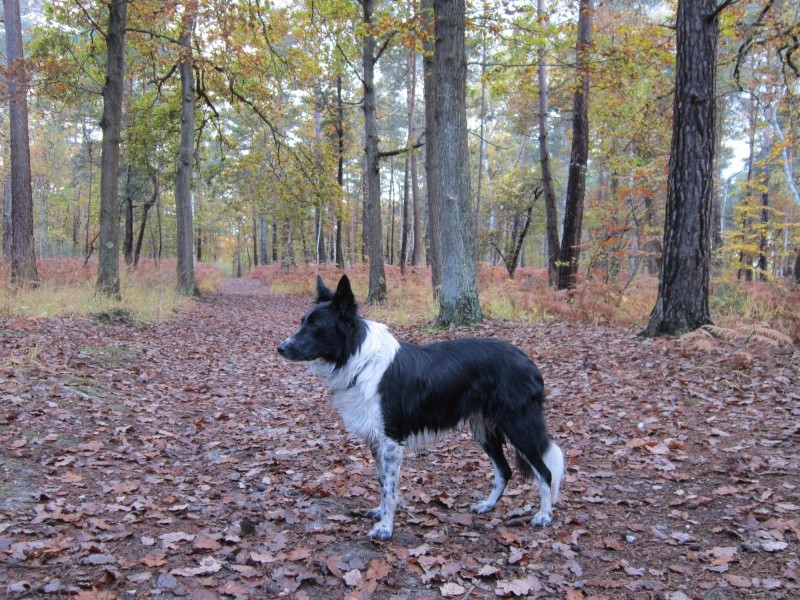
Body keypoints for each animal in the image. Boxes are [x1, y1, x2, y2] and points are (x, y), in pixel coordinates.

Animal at [278, 276, 564, 540]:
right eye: (302, 322)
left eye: (315, 326)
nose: (280, 348)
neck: (360, 359)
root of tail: (528, 361)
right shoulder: (377, 441)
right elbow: (382, 482)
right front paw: (381, 514)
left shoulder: (391, 441)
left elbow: (389, 489)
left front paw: (385, 528)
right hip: (484, 430)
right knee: (504, 470)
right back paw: (488, 506)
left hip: (517, 426)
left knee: (545, 472)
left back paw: (544, 516)